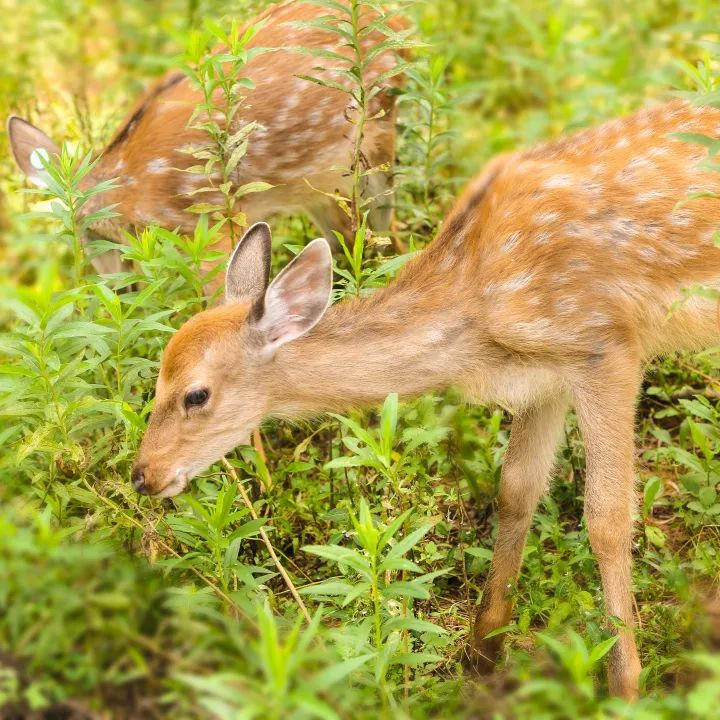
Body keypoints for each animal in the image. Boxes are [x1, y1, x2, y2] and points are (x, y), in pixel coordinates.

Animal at [7, 0, 404, 278]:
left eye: (100, 239)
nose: (119, 290)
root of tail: (395, 20)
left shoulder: (212, 221)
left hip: (376, 139)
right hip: (320, 183)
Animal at [131, 98, 720, 700]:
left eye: (196, 394)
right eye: (155, 379)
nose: (143, 475)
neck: (478, 320)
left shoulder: (607, 346)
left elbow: (606, 519)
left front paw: (625, 686)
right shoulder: (545, 377)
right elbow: (516, 491)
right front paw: (483, 656)